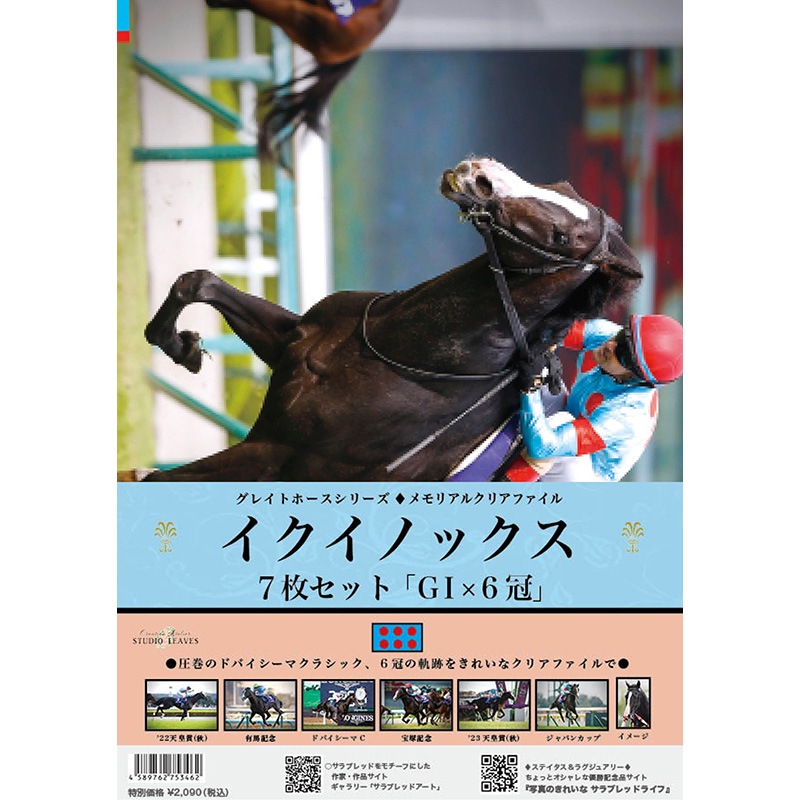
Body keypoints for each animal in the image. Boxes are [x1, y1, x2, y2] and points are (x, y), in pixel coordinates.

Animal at [136, 156, 642, 482]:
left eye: (563, 236)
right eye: (559, 188)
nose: (478, 172)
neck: (402, 350)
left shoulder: (280, 455)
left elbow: (154, 481)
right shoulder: (290, 342)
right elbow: (196, 283)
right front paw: (183, 346)